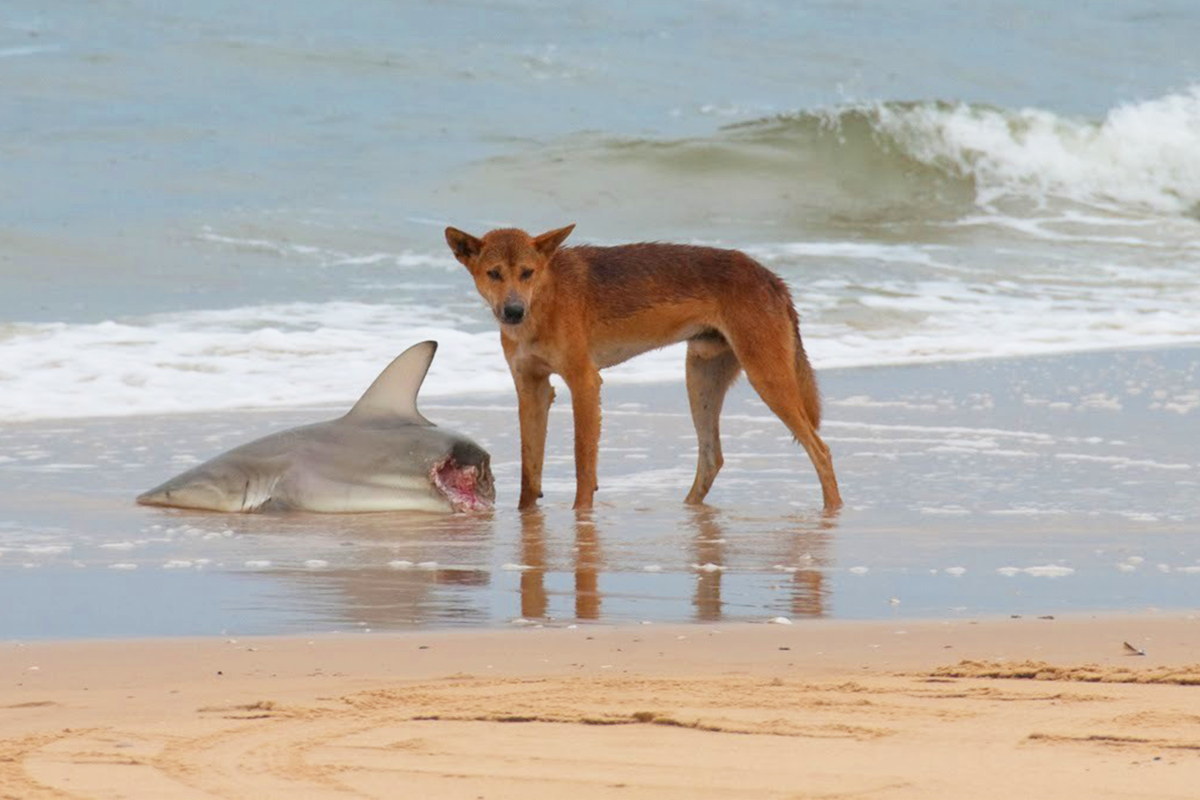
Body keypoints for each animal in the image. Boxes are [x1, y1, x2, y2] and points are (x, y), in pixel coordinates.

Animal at [444, 225, 844, 513]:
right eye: (494, 273)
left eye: (527, 273)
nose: (513, 311)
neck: (545, 299)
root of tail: (773, 279)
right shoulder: (532, 387)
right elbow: (530, 469)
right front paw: (526, 515)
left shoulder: (584, 381)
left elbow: (583, 465)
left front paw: (581, 517)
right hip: (700, 378)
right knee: (712, 457)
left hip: (767, 379)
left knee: (821, 450)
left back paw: (833, 511)